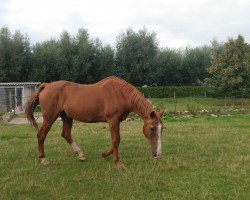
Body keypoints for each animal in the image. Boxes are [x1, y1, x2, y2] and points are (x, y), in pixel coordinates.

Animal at [25, 76, 164, 169]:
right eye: (152, 128)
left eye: (162, 129)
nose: (158, 154)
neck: (121, 93)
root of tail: (47, 85)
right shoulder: (113, 120)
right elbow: (116, 140)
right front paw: (117, 163)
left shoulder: (117, 122)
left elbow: (115, 141)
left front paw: (105, 154)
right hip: (50, 118)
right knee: (41, 135)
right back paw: (43, 158)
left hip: (67, 117)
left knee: (66, 134)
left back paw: (80, 154)